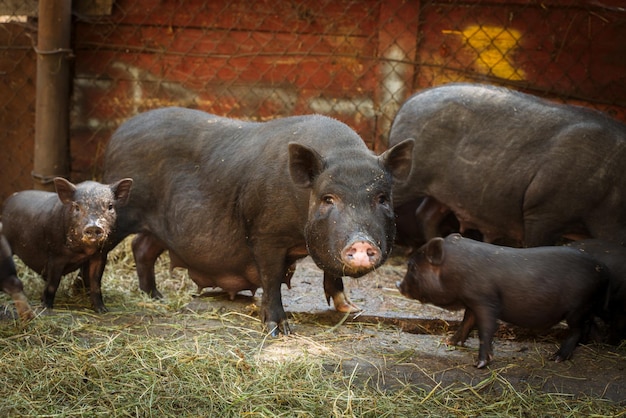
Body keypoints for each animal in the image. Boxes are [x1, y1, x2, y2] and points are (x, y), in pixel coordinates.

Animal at [1, 177, 132, 314]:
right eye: (76, 207)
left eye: (110, 206)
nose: (93, 226)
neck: (84, 251)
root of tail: (8, 200)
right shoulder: (55, 255)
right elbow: (53, 283)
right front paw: (46, 308)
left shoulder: (100, 255)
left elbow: (96, 283)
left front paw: (102, 310)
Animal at [102, 108, 414, 336]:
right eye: (328, 198)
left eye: (382, 199)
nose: (361, 243)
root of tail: (117, 134)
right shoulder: (265, 234)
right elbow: (272, 279)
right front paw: (280, 331)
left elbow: (331, 271)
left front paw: (350, 309)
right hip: (121, 216)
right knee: (104, 251)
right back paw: (98, 303)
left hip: (158, 227)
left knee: (142, 248)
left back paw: (156, 297)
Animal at [398, 233, 608, 368]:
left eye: (413, 267)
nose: (398, 284)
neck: (455, 270)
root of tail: (602, 271)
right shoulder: (472, 301)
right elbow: (466, 323)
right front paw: (449, 342)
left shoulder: (485, 301)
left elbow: (486, 329)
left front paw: (479, 364)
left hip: (578, 308)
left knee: (577, 329)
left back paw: (556, 358)